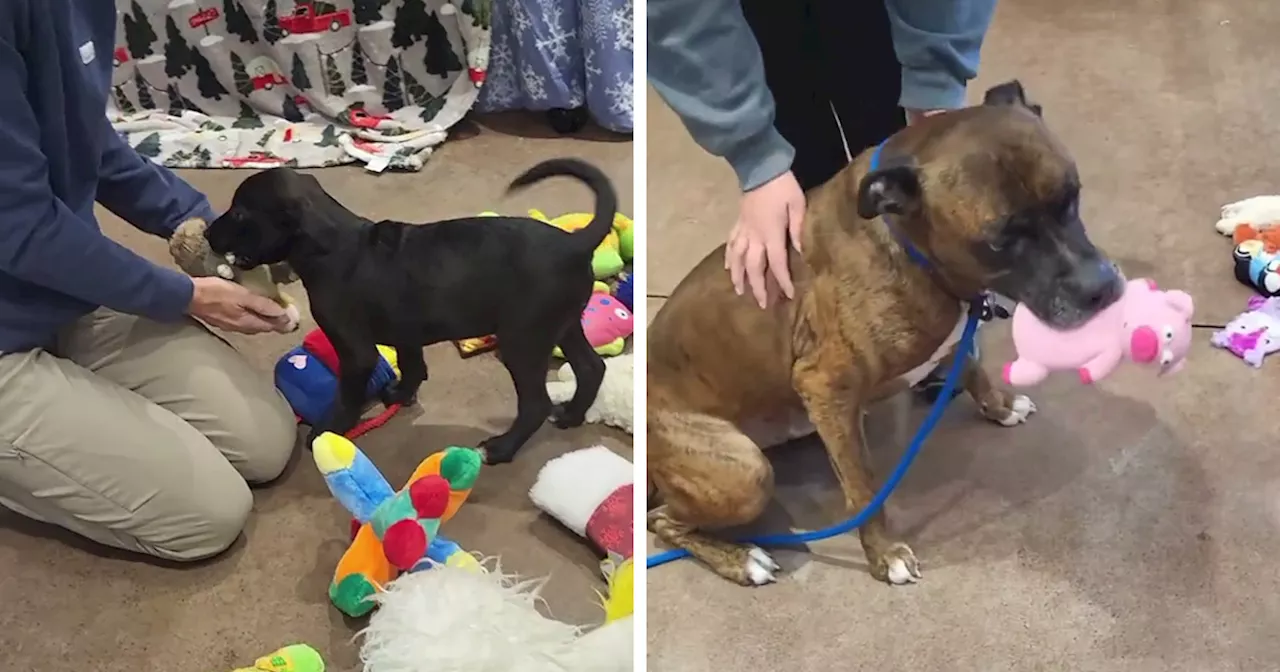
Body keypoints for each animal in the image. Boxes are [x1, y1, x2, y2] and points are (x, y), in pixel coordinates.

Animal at [204, 158, 614, 460]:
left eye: (239, 213)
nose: (207, 232)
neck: (332, 243)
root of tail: (577, 243)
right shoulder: (406, 329)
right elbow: (413, 364)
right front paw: (402, 394)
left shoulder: (355, 351)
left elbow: (347, 396)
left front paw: (328, 429)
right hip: (562, 325)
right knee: (592, 368)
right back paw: (572, 415)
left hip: (523, 339)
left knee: (535, 404)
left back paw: (501, 449)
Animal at [650, 81, 1121, 583]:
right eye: (1001, 240)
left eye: (1072, 198)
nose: (1101, 288)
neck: (906, 242)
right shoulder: (826, 388)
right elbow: (865, 492)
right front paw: (884, 554)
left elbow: (970, 365)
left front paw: (1001, 405)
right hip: (746, 474)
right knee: (661, 522)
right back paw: (742, 560)